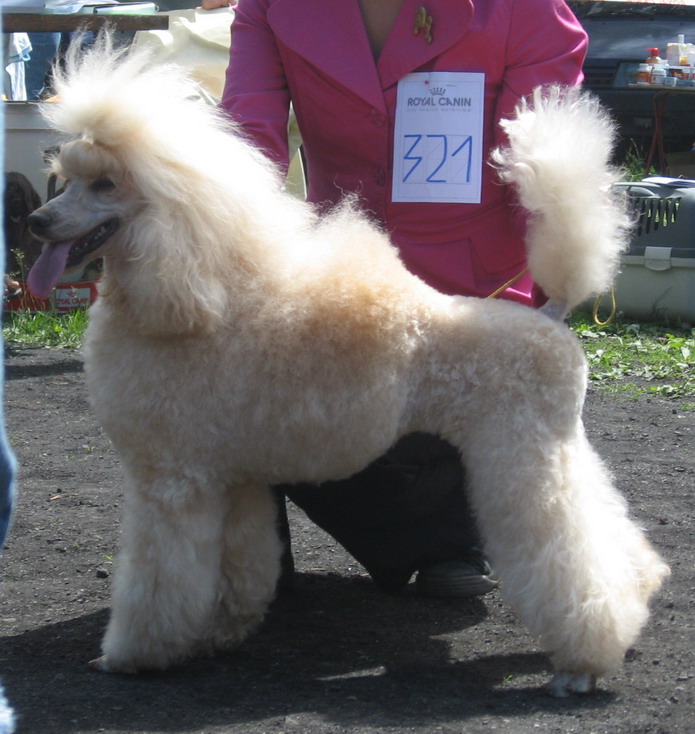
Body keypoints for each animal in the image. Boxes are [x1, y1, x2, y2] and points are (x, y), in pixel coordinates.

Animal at [27, 35, 669, 697]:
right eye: (66, 179)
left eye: (106, 184)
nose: (36, 223)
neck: (188, 295)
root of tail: (551, 314)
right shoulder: (231, 477)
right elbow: (239, 564)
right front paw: (223, 633)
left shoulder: (172, 479)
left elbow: (157, 580)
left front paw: (133, 655)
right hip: (555, 446)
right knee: (604, 529)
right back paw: (638, 593)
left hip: (519, 451)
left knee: (567, 556)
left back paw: (583, 662)